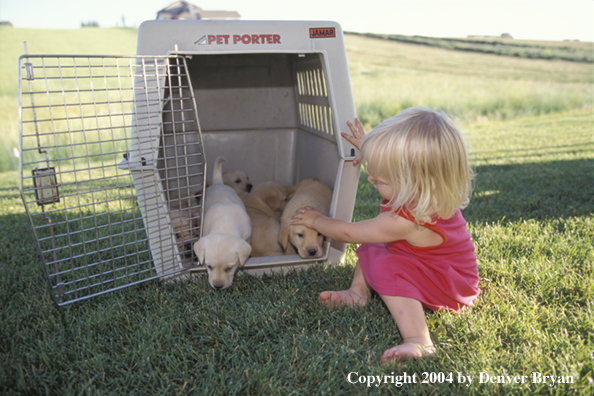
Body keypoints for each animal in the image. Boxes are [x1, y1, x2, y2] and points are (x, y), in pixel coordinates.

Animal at [193, 156, 251, 290]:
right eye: (209, 266)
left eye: (229, 268)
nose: (218, 286)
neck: (224, 225)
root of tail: (218, 183)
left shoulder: (248, 236)